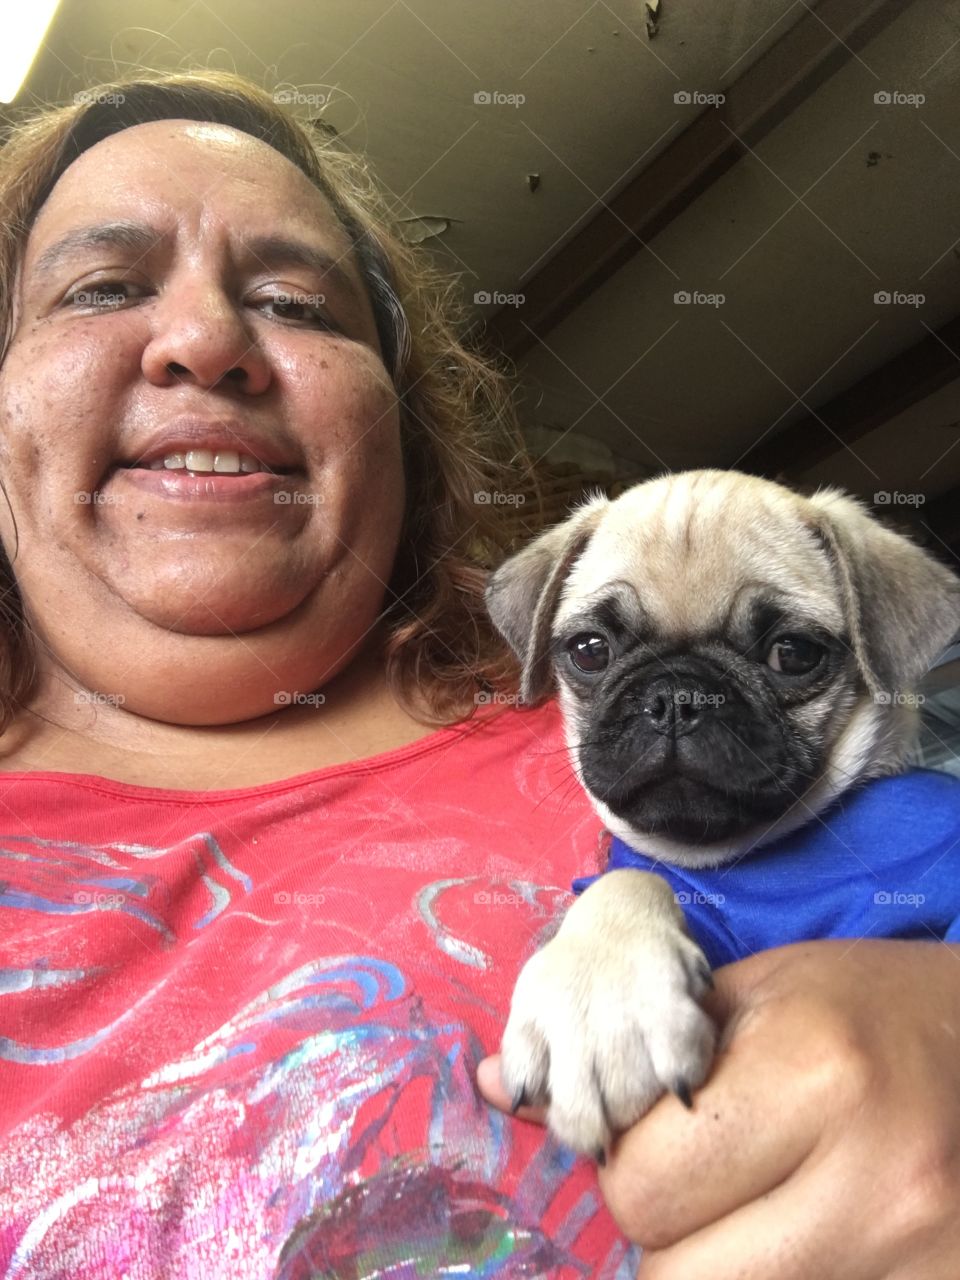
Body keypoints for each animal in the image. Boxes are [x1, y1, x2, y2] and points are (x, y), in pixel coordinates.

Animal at [488, 471, 960, 1162]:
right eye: (590, 651)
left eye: (793, 654)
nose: (675, 695)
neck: (743, 853)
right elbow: (627, 880)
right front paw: (600, 993)